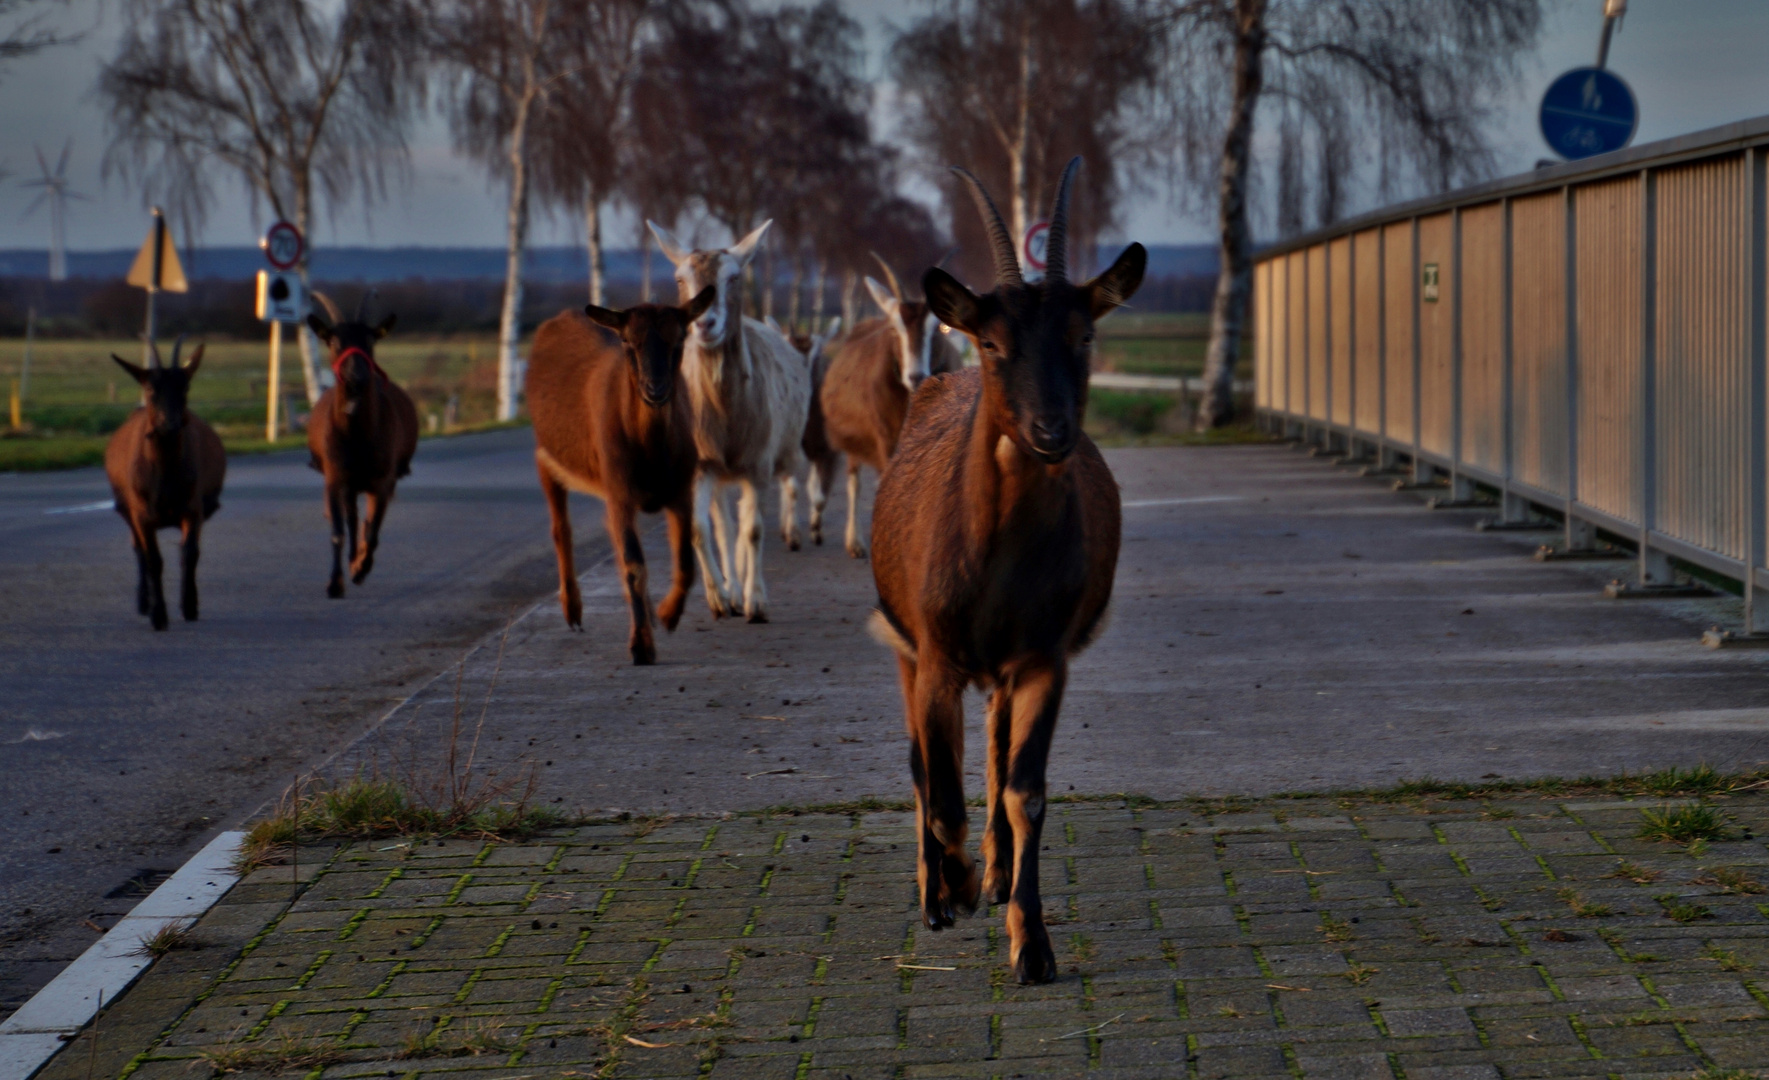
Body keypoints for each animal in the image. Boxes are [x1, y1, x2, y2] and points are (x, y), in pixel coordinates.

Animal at [106, 339, 228, 632]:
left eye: (185, 386)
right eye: (151, 388)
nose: (169, 424)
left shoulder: (193, 509)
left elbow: (189, 553)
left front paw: (190, 606)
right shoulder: (141, 515)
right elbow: (152, 558)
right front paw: (158, 615)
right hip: (127, 510)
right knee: (138, 550)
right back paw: (144, 602)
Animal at [307, 295, 421, 600]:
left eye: (371, 341)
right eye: (333, 341)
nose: (356, 377)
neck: (356, 435)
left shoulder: (382, 479)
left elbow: (372, 531)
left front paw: (360, 569)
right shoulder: (336, 477)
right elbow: (338, 530)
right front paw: (335, 583)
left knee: (366, 523)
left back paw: (358, 562)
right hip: (349, 482)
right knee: (352, 519)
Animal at [527, 288, 714, 664]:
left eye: (680, 338)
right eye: (628, 341)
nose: (655, 389)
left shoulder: (680, 490)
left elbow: (685, 561)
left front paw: (667, 615)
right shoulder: (620, 490)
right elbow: (633, 565)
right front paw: (641, 646)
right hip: (547, 457)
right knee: (561, 528)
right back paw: (573, 611)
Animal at [820, 256, 962, 558]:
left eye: (938, 328)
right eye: (895, 329)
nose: (916, 376)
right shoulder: (885, 439)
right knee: (854, 479)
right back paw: (855, 542)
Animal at [866, 154, 1146, 989]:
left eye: (1083, 332)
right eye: (991, 344)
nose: (1050, 431)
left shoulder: (1043, 657)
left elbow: (1026, 792)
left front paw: (1033, 945)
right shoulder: (933, 654)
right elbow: (939, 789)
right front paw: (950, 889)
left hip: (1000, 668)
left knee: (990, 755)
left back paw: (991, 877)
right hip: (908, 646)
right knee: (923, 766)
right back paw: (940, 891)